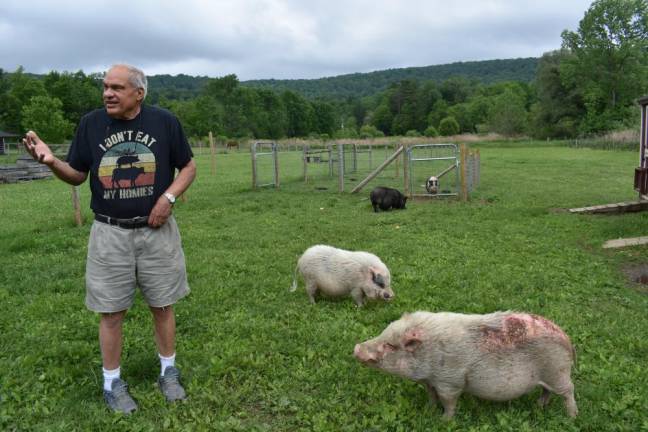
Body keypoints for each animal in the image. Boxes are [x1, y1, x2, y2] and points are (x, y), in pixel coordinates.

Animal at [354, 310, 576, 418]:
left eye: (391, 345)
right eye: (383, 332)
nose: (356, 348)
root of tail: (567, 339)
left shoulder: (450, 381)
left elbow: (448, 402)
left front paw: (444, 420)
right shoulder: (430, 381)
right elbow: (431, 396)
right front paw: (428, 410)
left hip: (557, 371)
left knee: (569, 391)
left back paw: (572, 417)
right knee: (546, 391)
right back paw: (540, 406)